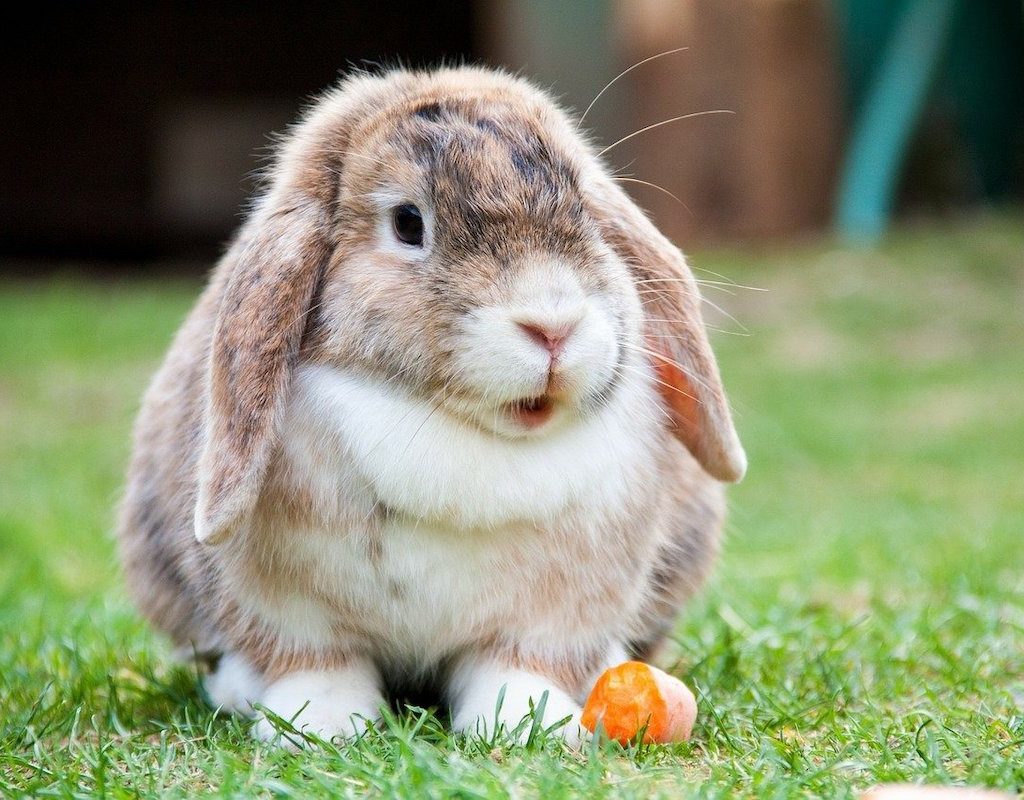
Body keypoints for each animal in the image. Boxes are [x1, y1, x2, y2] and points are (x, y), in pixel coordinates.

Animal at [117, 65, 746, 746]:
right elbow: (318, 665)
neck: (458, 430)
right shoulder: (289, 611)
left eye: (583, 207)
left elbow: (517, 667)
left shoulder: (553, 614)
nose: (553, 326)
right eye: (408, 223)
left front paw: (528, 727)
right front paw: (320, 727)